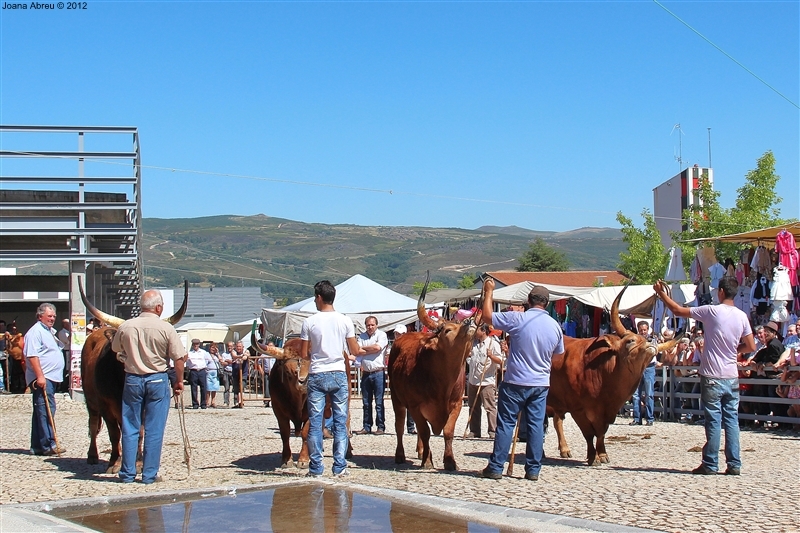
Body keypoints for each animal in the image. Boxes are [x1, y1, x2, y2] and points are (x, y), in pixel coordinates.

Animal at [390, 272, 478, 468]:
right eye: (447, 330)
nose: (469, 321)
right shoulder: (415, 405)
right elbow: (425, 432)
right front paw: (428, 461)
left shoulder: (457, 404)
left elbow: (448, 432)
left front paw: (450, 461)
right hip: (396, 399)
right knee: (399, 426)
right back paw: (400, 455)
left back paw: (421, 451)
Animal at [548, 284, 680, 464]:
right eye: (630, 340)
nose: (651, 341)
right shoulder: (578, 408)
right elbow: (588, 433)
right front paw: (593, 457)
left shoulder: (606, 411)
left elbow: (601, 433)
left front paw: (602, 454)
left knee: (556, 421)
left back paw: (564, 450)